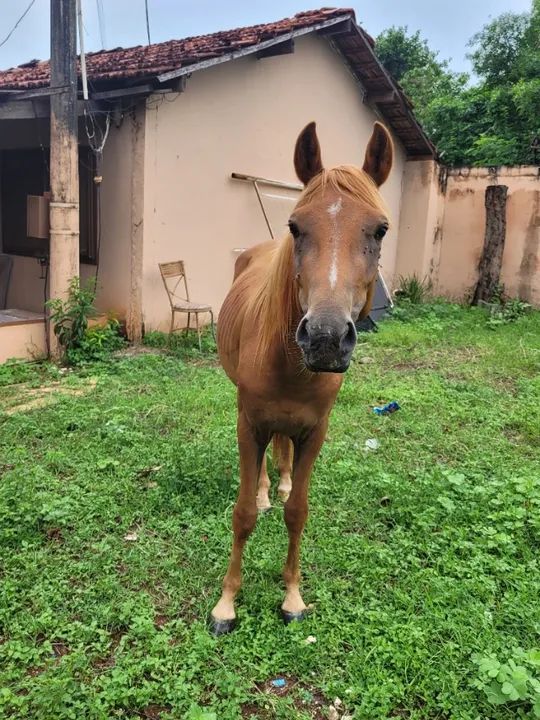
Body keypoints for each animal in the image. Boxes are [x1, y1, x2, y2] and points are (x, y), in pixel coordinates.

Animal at [210, 121, 393, 634]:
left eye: (380, 229)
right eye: (295, 226)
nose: (326, 338)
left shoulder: (315, 432)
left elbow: (299, 512)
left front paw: (292, 596)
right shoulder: (248, 424)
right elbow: (243, 513)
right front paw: (226, 603)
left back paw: (284, 483)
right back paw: (267, 490)